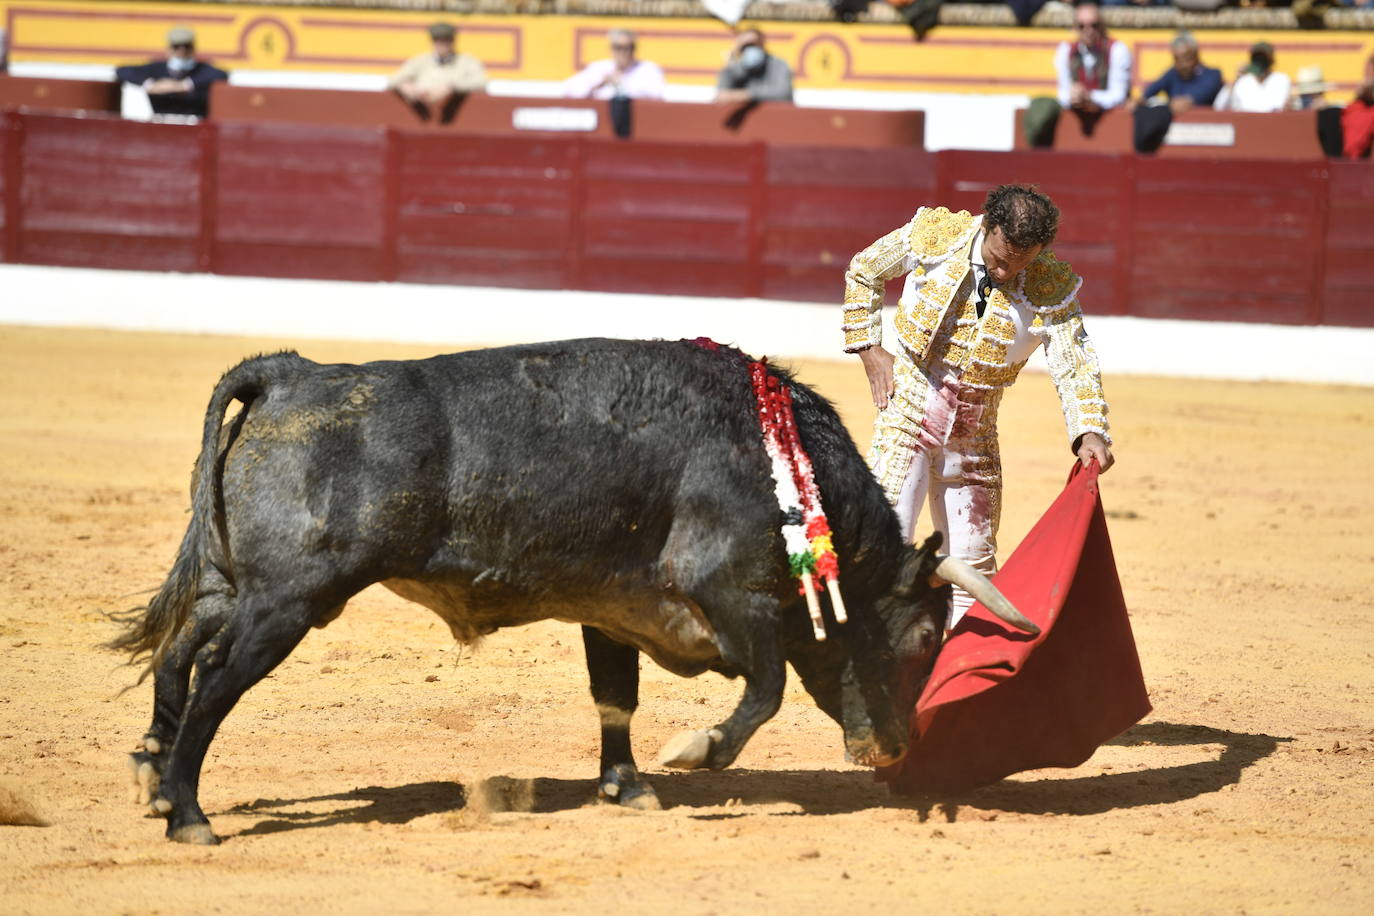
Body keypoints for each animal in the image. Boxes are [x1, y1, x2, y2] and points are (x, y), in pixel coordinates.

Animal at [109, 336, 1033, 845]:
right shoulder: (727, 590)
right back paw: (188, 813)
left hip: (234, 583)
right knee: (215, 678)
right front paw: (693, 751)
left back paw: (152, 778)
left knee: (178, 654)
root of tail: (294, 375)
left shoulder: (612, 610)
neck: (787, 471)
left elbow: (614, 698)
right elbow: (764, 687)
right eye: (922, 640)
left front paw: (628, 786)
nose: (894, 750)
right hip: (289, 600)